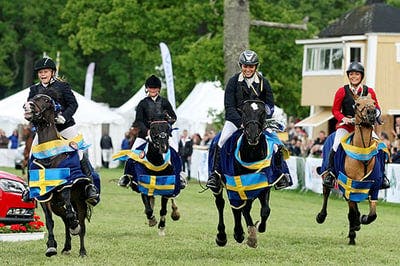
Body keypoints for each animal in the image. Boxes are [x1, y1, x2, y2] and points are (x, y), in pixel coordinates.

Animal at [23, 92, 100, 256]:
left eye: (46, 100)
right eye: (32, 97)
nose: (27, 106)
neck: (48, 156)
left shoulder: (66, 186)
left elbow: (72, 216)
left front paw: (74, 228)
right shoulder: (44, 195)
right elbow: (49, 221)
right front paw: (51, 247)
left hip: (80, 201)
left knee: (80, 223)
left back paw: (82, 250)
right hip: (56, 205)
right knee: (65, 220)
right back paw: (66, 247)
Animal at [209, 99, 294, 247]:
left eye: (262, 112)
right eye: (243, 112)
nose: (253, 136)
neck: (252, 154)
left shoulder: (263, 185)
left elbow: (265, 210)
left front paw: (259, 227)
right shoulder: (236, 186)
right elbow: (239, 209)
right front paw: (245, 235)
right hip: (219, 186)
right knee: (221, 204)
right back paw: (222, 236)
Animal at [316, 94, 388, 245]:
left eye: (374, 103)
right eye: (358, 104)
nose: (371, 113)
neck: (363, 154)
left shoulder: (374, 187)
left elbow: (372, 214)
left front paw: (362, 220)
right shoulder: (348, 186)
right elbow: (352, 213)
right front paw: (354, 231)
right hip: (326, 173)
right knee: (326, 193)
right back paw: (321, 216)